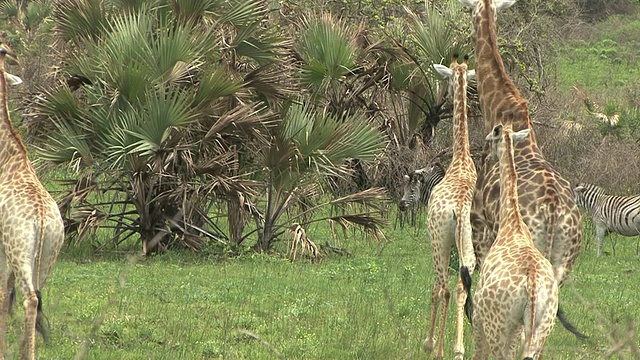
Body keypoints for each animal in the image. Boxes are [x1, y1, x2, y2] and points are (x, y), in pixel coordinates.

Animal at [472, 124, 556, 360]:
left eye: (490, 139)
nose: (485, 156)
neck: (512, 222)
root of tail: (532, 286)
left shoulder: (478, 311)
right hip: (543, 323)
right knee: (530, 353)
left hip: (499, 323)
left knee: (502, 355)